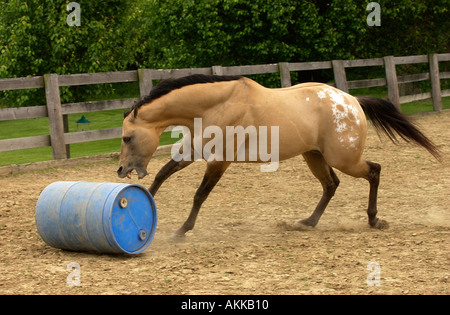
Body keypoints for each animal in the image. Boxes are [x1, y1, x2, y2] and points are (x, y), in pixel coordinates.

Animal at [117, 74, 440, 239]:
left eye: (126, 137)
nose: (121, 170)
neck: (217, 104)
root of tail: (353, 101)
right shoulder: (194, 151)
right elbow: (162, 174)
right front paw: (146, 203)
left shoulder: (219, 161)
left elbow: (199, 195)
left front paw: (182, 230)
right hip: (314, 156)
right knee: (331, 185)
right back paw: (308, 222)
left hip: (344, 158)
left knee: (374, 170)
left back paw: (374, 220)